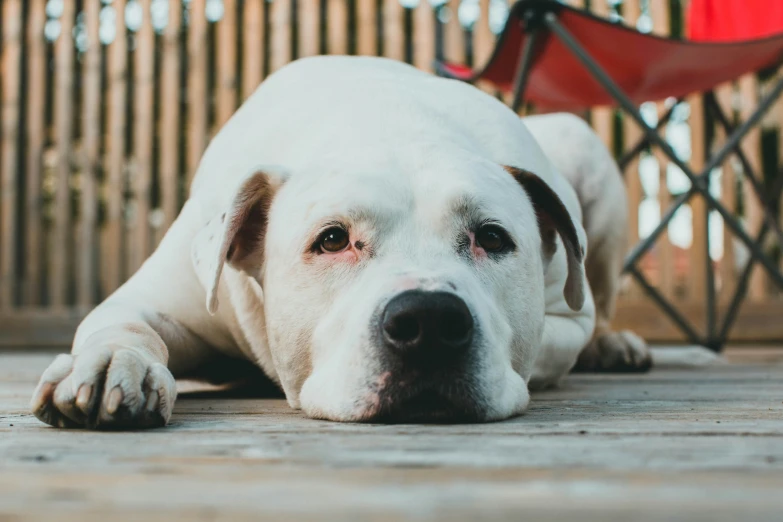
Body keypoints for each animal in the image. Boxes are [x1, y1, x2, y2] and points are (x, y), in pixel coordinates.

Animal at [29, 57, 648, 426]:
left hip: (582, 142)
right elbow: (127, 324)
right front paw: (115, 364)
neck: (385, 122)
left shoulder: (566, 321)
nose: (429, 320)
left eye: (493, 238)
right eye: (331, 240)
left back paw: (614, 345)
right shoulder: (157, 298)